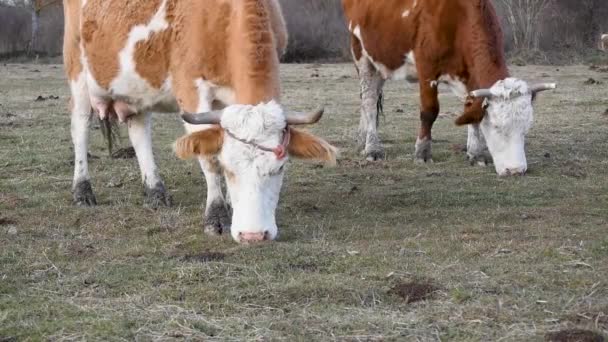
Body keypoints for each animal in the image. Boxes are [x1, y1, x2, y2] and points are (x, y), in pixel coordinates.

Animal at [63, 0, 338, 243]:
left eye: (280, 168)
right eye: (228, 168)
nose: (254, 235)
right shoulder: (191, 89)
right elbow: (209, 159)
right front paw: (216, 215)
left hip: (136, 88)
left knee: (139, 131)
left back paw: (155, 192)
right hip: (77, 71)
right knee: (80, 128)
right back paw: (82, 191)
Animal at [342, 0, 556, 176]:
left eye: (526, 128)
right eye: (496, 126)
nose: (516, 170)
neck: (458, 18)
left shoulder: (469, 75)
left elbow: (472, 112)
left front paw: (476, 154)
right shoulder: (427, 69)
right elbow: (429, 112)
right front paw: (422, 153)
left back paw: (362, 139)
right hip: (361, 53)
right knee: (369, 100)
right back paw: (372, 148)